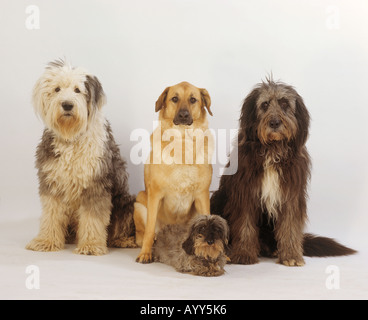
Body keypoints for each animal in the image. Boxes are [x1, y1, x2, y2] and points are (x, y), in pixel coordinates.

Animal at [25, 59, 137, 255]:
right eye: (57, 89)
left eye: (77, 90)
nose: (67, 105)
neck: (71, 137)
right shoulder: (52, 182)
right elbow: (51, 214)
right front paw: (46, 241)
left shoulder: (96, 184)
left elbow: (93, 218)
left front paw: (91, 245)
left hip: (127, 203)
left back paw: (124, 240)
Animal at [133, 81, 213, 264]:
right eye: (174, 99)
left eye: (193, 99)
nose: (183, 115)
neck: (182, 143)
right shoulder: (155, 195)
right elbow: (149, 230)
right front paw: (145, 253)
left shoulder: (203, 196)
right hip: (140, 204)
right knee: (144, 233)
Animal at [211, 79, 356, 266]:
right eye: (265, 104)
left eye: (284, 103)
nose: (274, 123)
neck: (273, 150)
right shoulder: (246, 193)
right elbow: (245, 224)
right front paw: (244, 254)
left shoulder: (291, 195)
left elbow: (290, 226)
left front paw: (291, 255)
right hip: (218, 198)